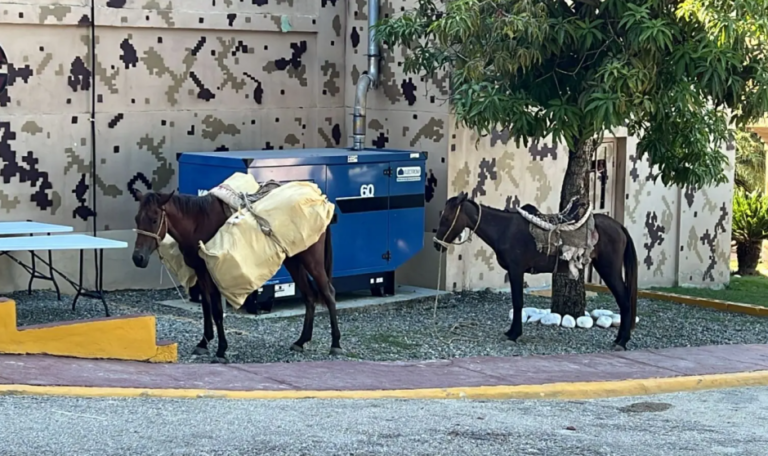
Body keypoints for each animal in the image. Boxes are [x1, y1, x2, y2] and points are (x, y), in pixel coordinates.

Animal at [130, 189, 341, 363]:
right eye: (137, 218)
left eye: (154, 219)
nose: (137, 258)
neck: (198, 223)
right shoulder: (201, 272)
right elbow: (206, 307)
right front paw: (204, 342)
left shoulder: (211, 275)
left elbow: (216, 311)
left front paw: (221, 350)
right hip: (294, 260)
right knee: (309, 295)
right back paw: (302, 340)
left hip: (312, 260)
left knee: (328, 292)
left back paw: (336, 344)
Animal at [434, 191, 638, 350]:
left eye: (446, 218)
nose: (437, 244)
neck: (504, 230)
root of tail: (619, 226)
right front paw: (512, 331)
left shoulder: (516, 270)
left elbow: (518, 302)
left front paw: (514, 334)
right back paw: (620, 339)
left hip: (608, 269)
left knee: (624, 301)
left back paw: (622, 341)